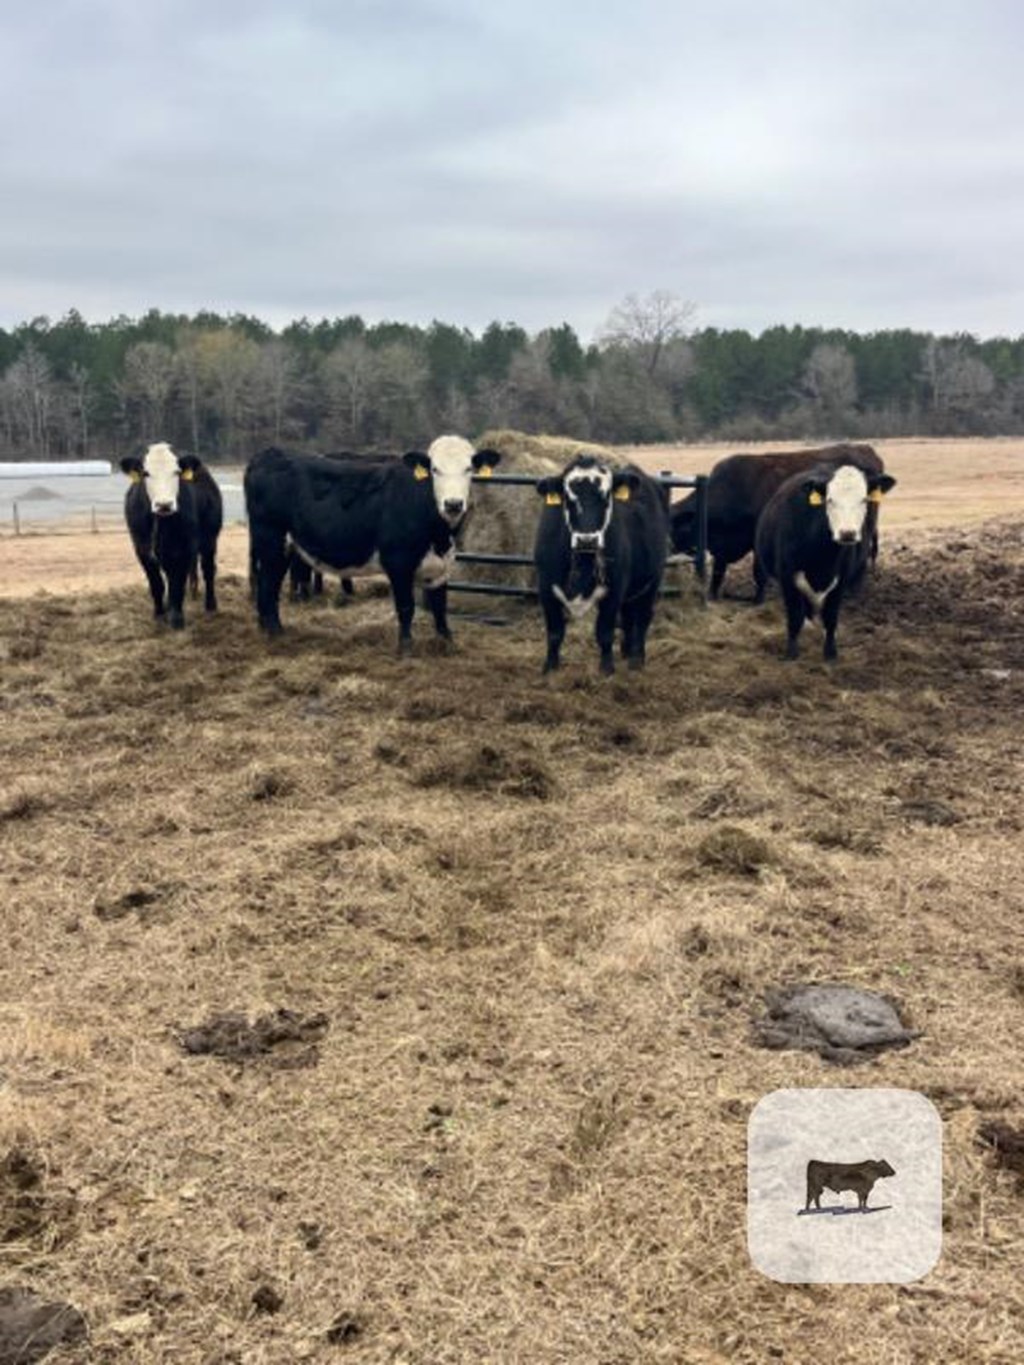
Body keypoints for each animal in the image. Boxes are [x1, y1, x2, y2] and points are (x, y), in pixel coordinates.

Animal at [120, 442, 223, 627]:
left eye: (176, 472)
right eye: (146, 473)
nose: (164, 504)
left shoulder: (183, 549)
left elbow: (177, 583)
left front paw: (177, 619)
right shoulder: (142, 549)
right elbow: (157, 583)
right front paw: (159, 613)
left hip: (210, 540)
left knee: (208, 569)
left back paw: (211, 605)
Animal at [244, 436, 502, 649]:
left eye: (469, 468)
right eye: (434, 470)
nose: (453, 504)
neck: (439, 536)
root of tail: (268, 454)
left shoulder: (441, 565)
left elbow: (440, 606)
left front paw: (447, 642)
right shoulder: (398, 561)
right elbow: (406, 606)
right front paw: (405, 647)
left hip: (284, 545)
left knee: (269, 582)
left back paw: (266, 627)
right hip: (270, 537)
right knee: (268, 584)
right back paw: (275, 631)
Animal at [537, 455, 674, 674]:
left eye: (606, 497)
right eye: (568, 497)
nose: (587, 540)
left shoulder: (614, 588)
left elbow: (605, 631)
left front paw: (606, 668)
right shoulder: (545, 586)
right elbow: (555, 632)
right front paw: (550, 667)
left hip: (653, 581)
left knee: (643, 617)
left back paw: (637, 659)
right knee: (628, 617)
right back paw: (626, 651)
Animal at [753, 458, 895, 660]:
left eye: (864, 499)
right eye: (830, 500)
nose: (847, 533)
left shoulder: (841, 580)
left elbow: (831, 617)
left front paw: (830, 652)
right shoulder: (787, 577)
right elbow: (795, 615)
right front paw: (792, 652)